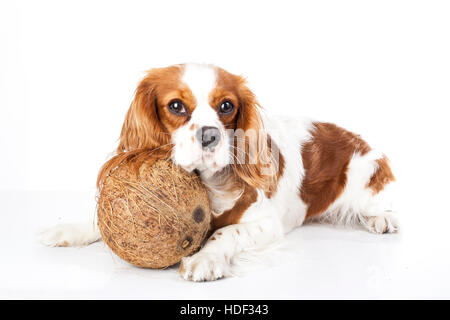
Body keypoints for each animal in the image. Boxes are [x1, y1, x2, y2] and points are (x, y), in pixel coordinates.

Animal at [38, 63, 398, 282]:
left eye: (226, 106)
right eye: (176, 106)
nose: (209, 135)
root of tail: (355, 136)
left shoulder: (267, 223)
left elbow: (225, 233)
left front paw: (205, 259)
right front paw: (68, 229)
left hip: (367, 173)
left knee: (378, 204)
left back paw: (382, 219)